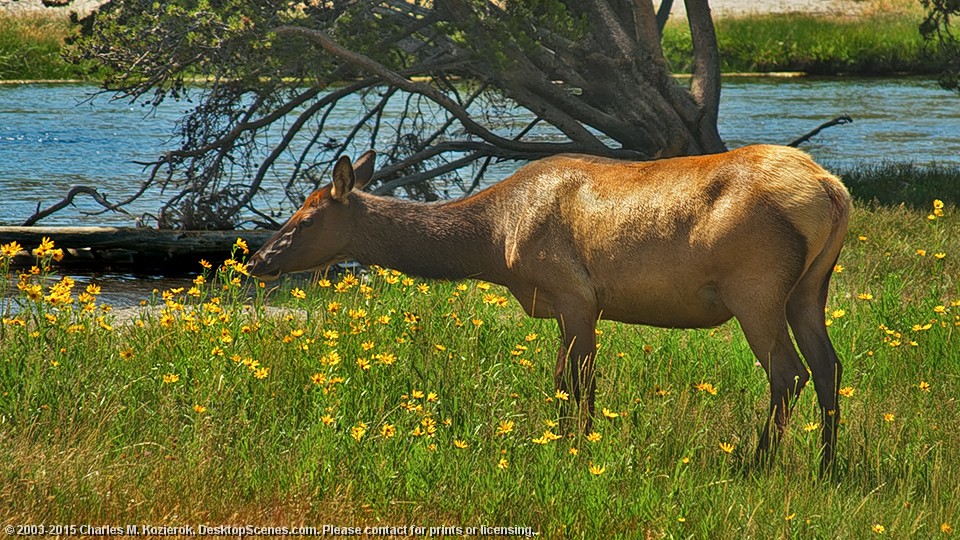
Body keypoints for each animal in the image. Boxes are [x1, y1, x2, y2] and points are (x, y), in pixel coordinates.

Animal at [251, 144, 852, 468]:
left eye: (305, 218)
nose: (257, 260)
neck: (493, 239)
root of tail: (832, 189)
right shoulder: (577, 306)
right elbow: (574, 379)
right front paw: (572, 443)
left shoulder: (574, 295)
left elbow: (574, 380)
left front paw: (573, 448)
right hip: (808, 289)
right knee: (829, 366)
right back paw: (826, 464)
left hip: (756, 286)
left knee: (788, 372)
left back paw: (758, 462)